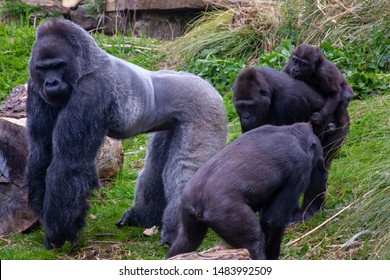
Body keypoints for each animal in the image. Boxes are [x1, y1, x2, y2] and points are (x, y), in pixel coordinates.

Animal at [25, 18, 227, 248]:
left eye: (58, 66)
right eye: (42, 68)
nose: (51, 82)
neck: (85, 64)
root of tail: (207, 85)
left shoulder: (92, 90)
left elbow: (69, 164)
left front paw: (59, 234)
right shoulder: (35, 87)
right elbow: (42, 151)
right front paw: (42, 213)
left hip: (206, 109)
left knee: (185, 172)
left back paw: (178, 231)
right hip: (172, 123)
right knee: (155, 165)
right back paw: (143, 217)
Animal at [168, 123, 322, 260]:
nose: (320, 161)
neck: (291, 133)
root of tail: (197, 201)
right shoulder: (300, 167)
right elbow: (273, 221)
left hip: (186, 205)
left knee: (187, 240)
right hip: (226, 214)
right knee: (253, 243)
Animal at [233, 66, 348, 222]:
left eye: (250, 106)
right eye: (240, 107)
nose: (246, 117)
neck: (270, 91)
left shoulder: (288, 101)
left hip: (341, 124)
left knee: (319, 165)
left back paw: (310, 210)